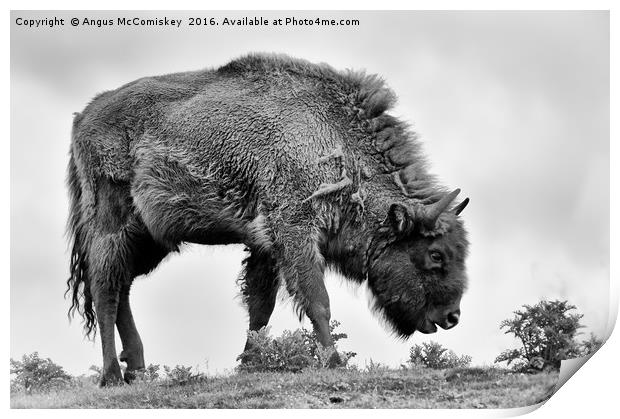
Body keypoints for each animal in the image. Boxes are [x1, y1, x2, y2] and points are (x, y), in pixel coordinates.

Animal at [65, 53, 470, 388]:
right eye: (435, 254)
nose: (452, 316)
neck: (331, 136)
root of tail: (83, 118)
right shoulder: (294, 231)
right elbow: (316, 299)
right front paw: (335, 363)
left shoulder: (265, 245)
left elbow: (261, 307)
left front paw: (250, 366)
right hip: (112, 224)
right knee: (105, 288)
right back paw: (112, 376)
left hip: (150, 238)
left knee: (122, 287)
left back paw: (137, 369)